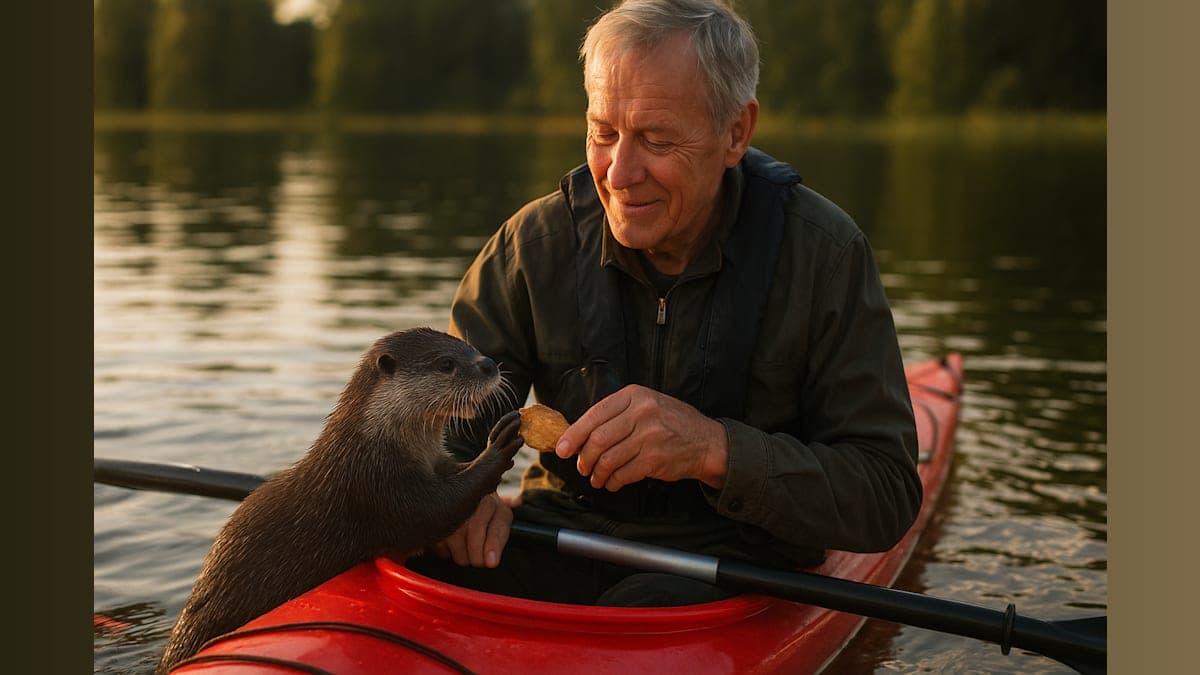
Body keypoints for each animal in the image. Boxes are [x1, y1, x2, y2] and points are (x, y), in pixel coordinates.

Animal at [156, 328, 523, 674]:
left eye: (472, 347)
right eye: (446, 363)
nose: (489, 364)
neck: (376, 442)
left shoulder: (433, 463)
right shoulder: (376, 485)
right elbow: (435, 512)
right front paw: (498, 447)